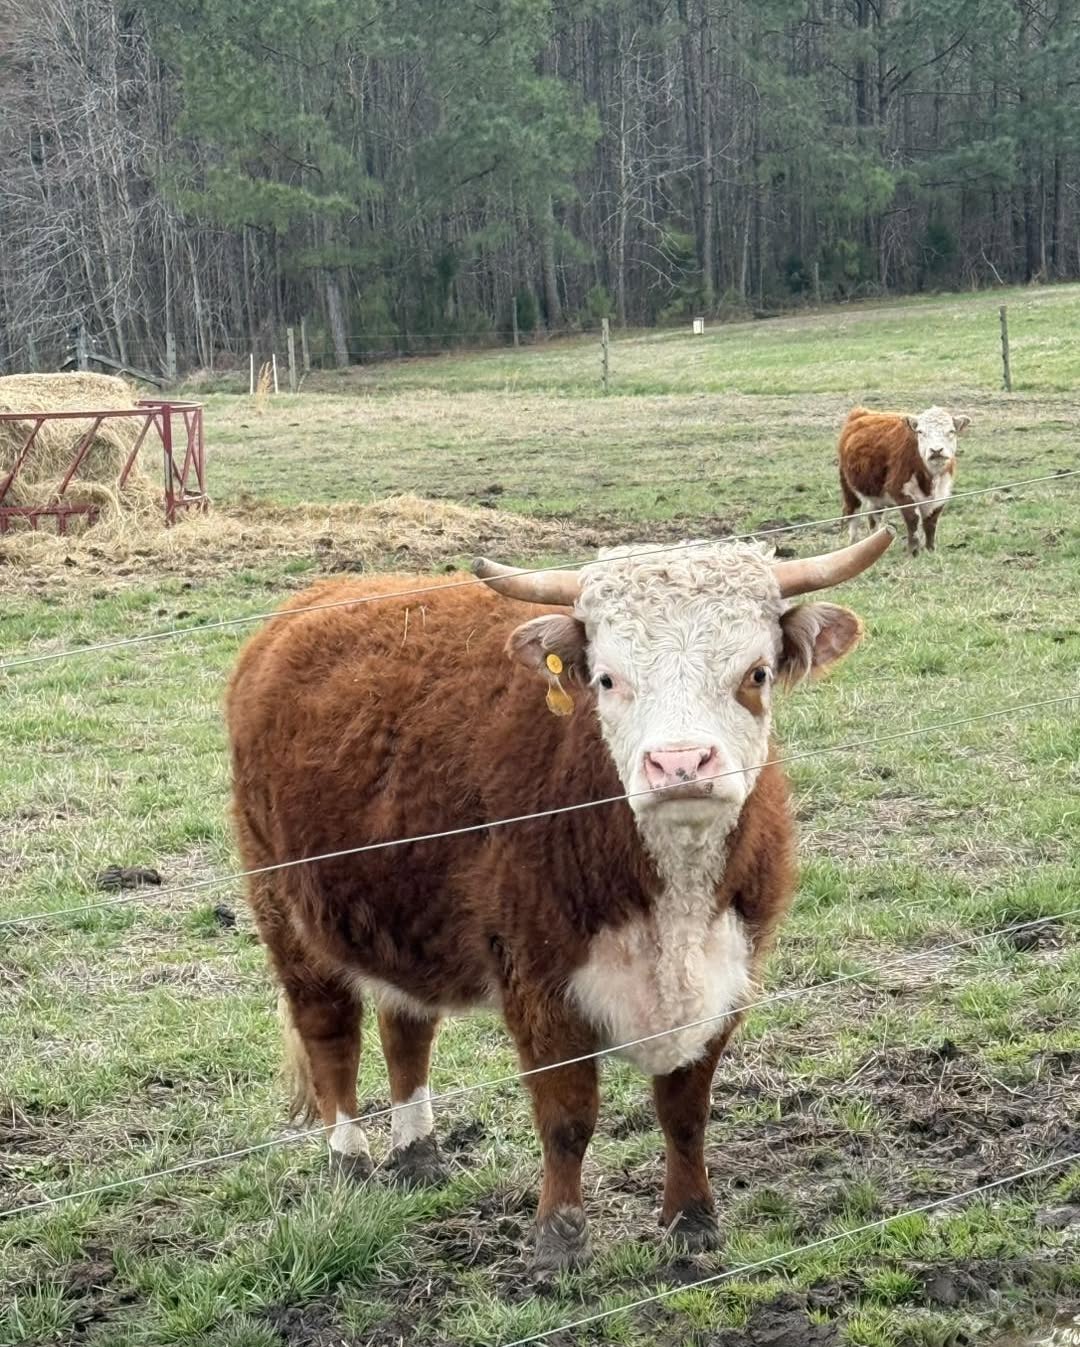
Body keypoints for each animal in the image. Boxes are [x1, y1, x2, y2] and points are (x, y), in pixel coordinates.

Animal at [225, 528, 894, 1274]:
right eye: (607, 678)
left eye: (756, 673)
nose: (680, 764)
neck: (674, 904)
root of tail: (316, 600)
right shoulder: (538, 980)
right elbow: (567, 1117)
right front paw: (559, 1239)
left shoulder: (730, 969)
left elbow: (686, 1108)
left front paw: (693, 1220)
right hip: (282, 904)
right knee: (329, 1030)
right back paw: (350, 1158)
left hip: (400, 912)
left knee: (406, 1027)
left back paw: (418, 1154)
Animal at [838, 406, 971, 555]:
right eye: (920, 432)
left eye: (951, 431)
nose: (936, 450)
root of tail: (862, 412)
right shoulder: (900, 491)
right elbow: (913, 520)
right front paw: (913, 551)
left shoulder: (941, 495)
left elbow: (931, 523)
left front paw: (930, 550)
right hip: (847, 485)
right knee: (852, 513)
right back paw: (853, 543)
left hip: (875, 493)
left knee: (874, 516)